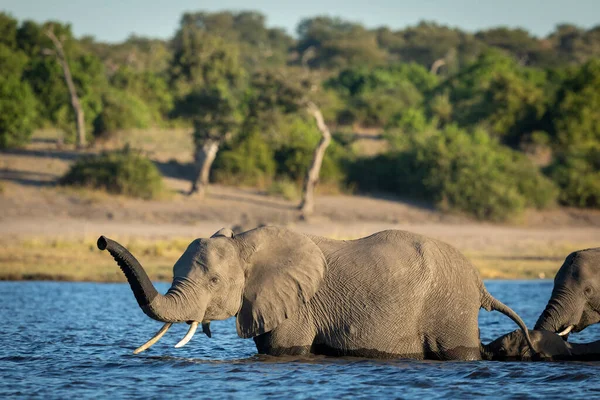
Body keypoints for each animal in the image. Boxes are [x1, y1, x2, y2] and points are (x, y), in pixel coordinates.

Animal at [97, 227, 536, 360]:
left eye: (214, 283)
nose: (101, 240)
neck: (246, 242)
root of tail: (480, 284)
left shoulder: (297, 308)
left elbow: (284, 350)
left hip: (450, 308)